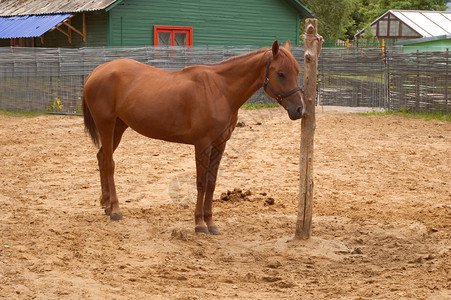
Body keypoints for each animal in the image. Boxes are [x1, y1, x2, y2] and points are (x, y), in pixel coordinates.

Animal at [83, 39, 306, 233]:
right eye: (281, 73)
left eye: (297, 71)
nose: (299, 109)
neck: (220, 90)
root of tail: (96, 71)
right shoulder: (203, 144)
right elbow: (201, 182)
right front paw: (199, 223)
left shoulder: (220, 144)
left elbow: (212, 182)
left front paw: (211, 222)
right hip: (106, 125)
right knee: (109, 164)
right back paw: (115, 210)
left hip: (119, 127)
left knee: (102, 157)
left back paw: (106, 205)